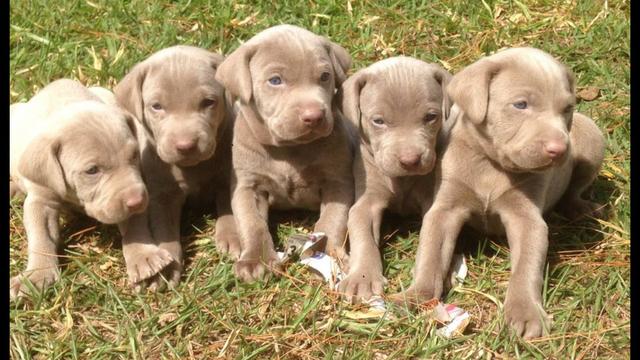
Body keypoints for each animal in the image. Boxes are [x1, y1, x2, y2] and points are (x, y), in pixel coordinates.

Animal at [114, 45, 239, 290]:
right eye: (156, 106)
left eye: (208, 102)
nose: (185, 145)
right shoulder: (161, 196)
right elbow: (165, 231)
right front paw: (167, 266)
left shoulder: (226, 176)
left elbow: (228, 205)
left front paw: (233, 236)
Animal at [215, 24, 356, 282]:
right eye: (275, 80)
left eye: (325, 76)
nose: (314, 116)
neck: (290, 148)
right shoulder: (248, 185)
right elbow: (252, 223)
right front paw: (255, 260)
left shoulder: (338, 181)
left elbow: (332, 220)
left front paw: (330, 255)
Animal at [338, 57, 452, 300]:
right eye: (378, 121)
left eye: (431, 117)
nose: (410, 160)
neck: (402, 180)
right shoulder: (366, 201)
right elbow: (362, 234)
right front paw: (362, 278)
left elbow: (432, 243)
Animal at [392, 48, 608, 340]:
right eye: (521, 105)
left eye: (566, 109)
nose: (559, 149)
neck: (491, 164)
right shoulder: (445, 208)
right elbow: (430, 255)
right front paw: (415, 296)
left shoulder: (527, 219)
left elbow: (526, 267)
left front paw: (526, 313)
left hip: (591, 137)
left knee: (576, 188)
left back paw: (581, 208)